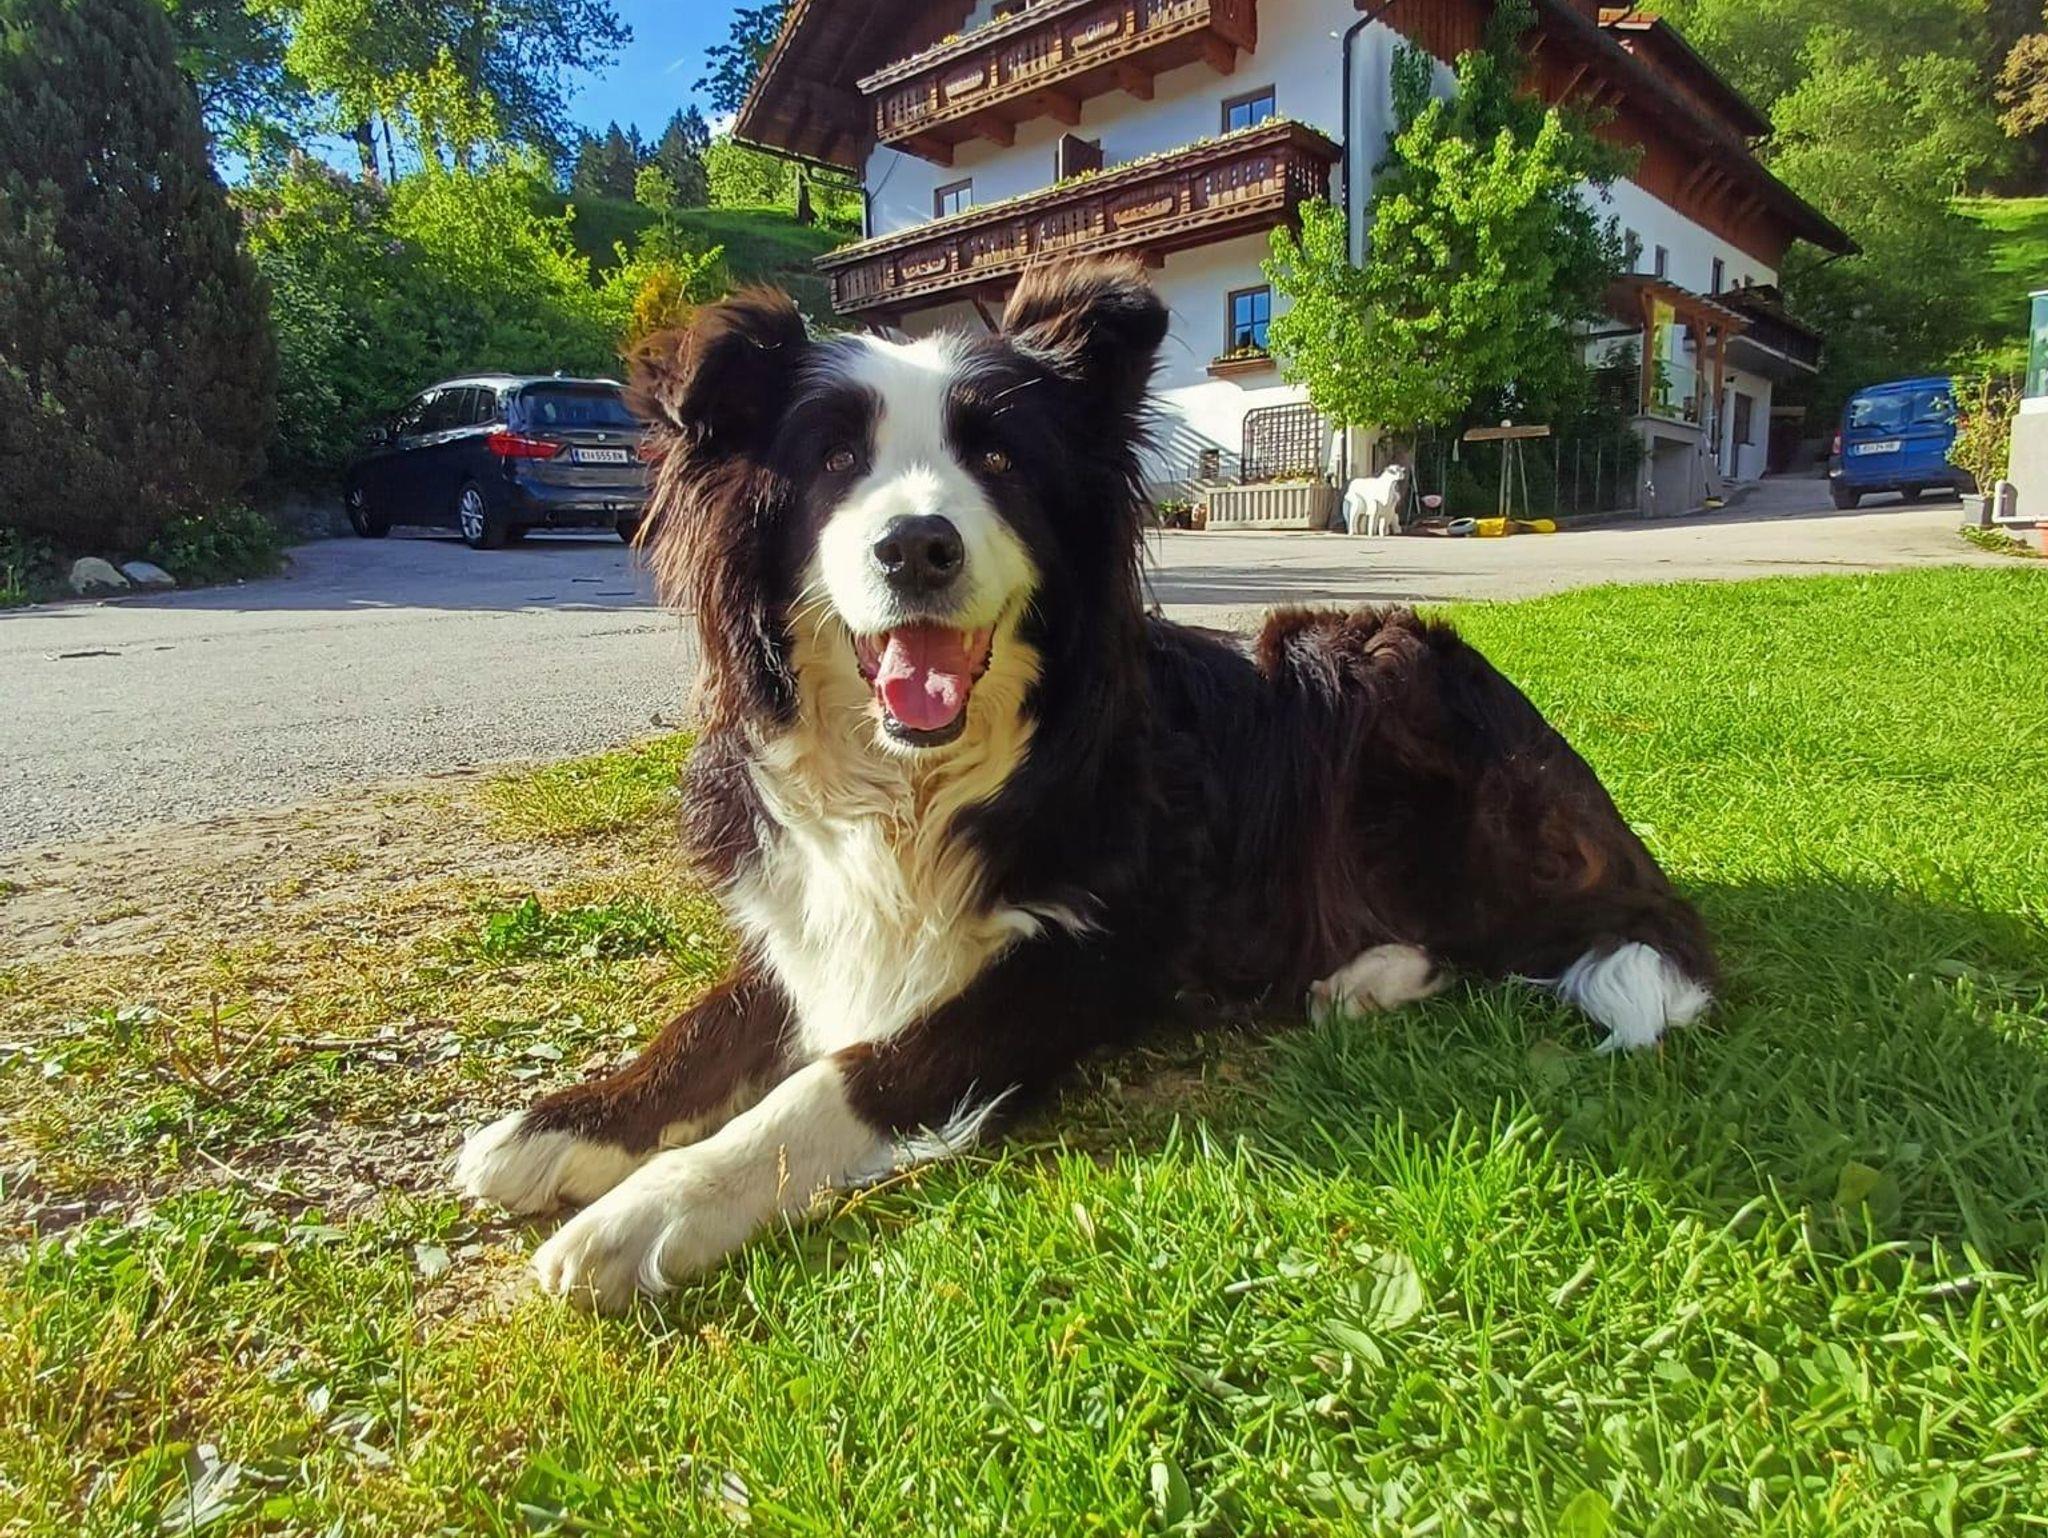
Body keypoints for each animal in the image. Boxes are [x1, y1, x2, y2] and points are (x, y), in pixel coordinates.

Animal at [454, 261, 1716, 1311]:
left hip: (1366, 667)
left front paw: (650, 1208)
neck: (917, 785)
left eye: (1000, 460)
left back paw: (1369, 972)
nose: (917, 547)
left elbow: (848, 1074)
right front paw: (563, 1121)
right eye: (833, 462)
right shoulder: (811, 906)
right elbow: (710, 1018)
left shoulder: (1088, 956)